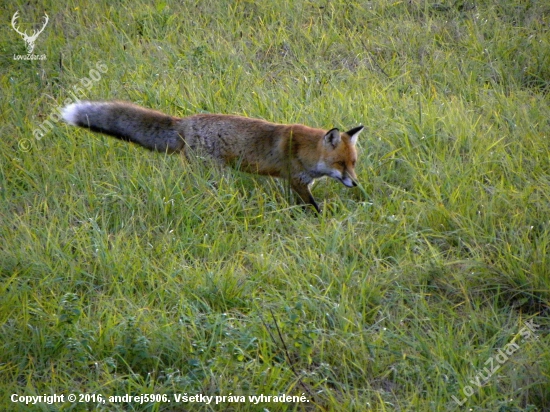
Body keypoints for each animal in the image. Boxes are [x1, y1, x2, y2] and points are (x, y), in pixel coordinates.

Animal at [62, 101, 364, 212]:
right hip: (214, 175)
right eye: (340, 164)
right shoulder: (297, 181)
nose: (355, 184)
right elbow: (313, 206)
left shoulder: (296, 182)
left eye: (353, 163)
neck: (306, 150)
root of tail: (184, 122)